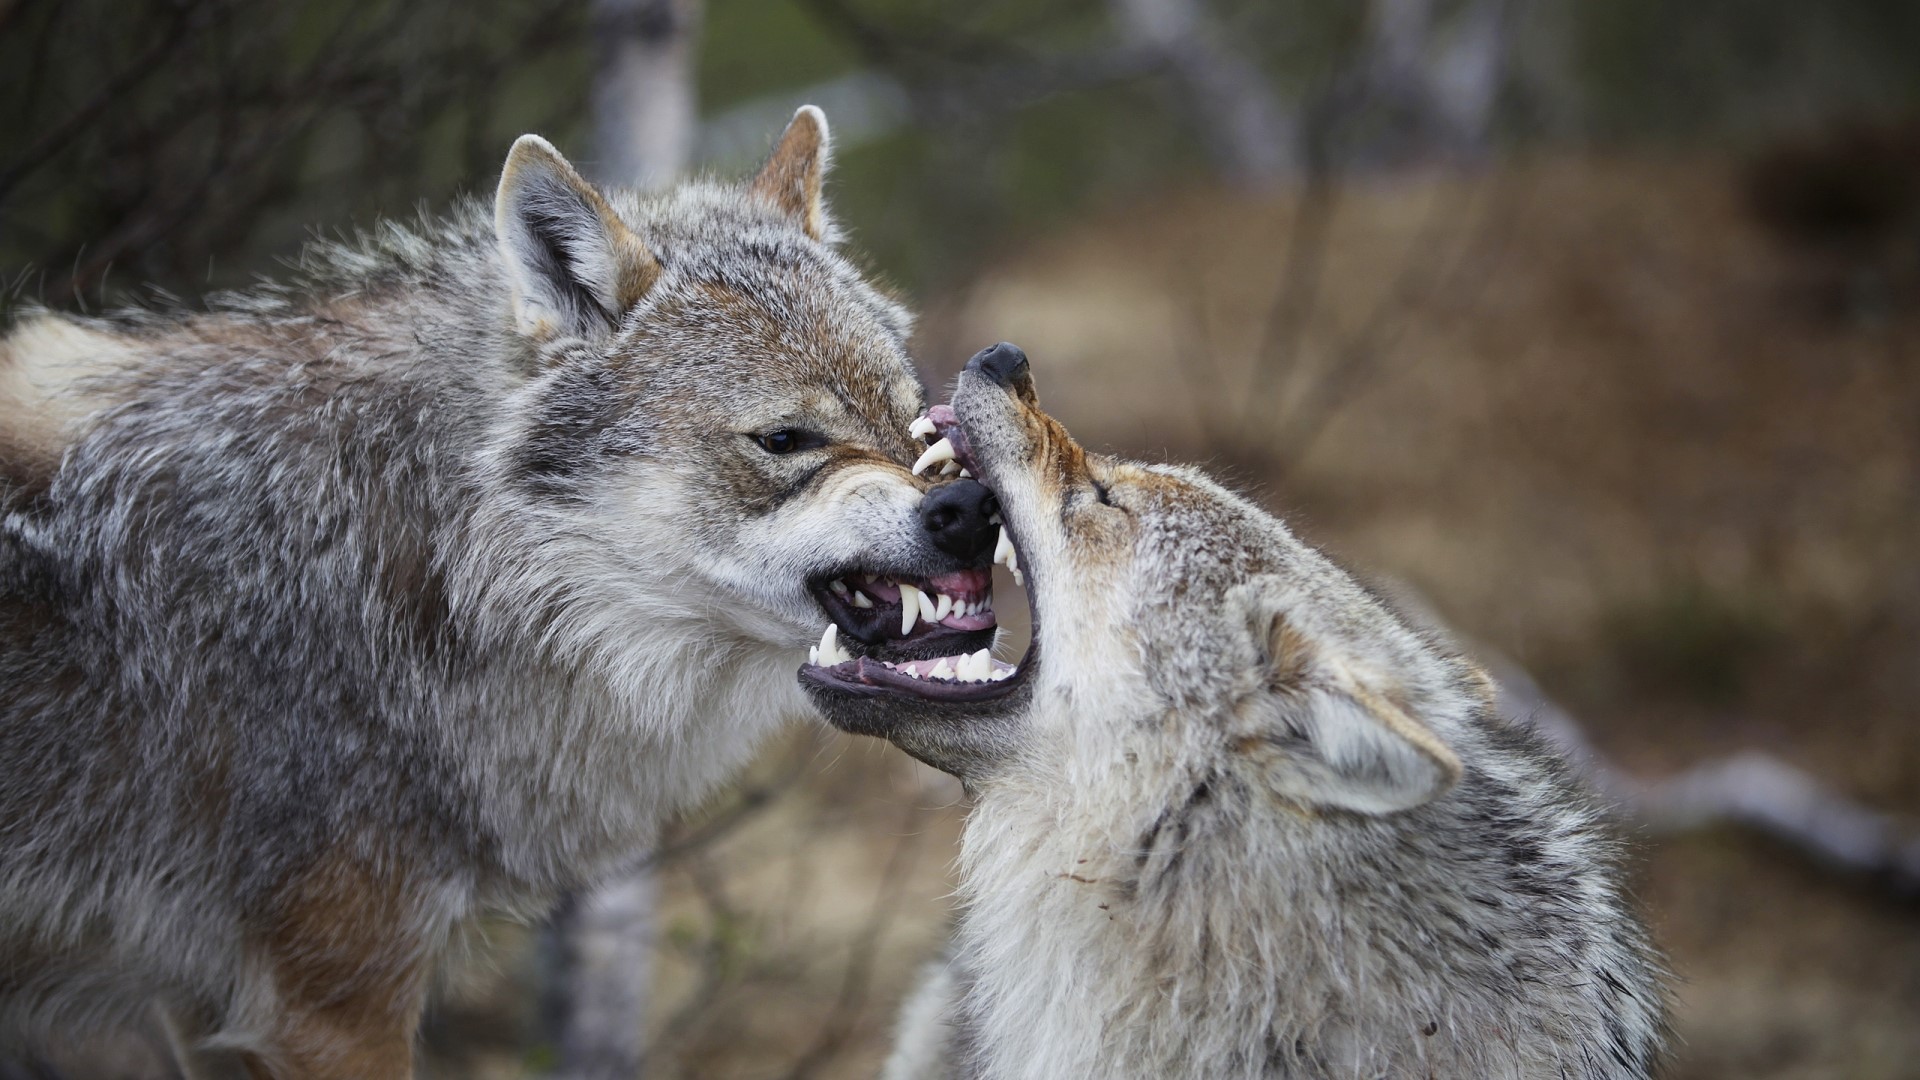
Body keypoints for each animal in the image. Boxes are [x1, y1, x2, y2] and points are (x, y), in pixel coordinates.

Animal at [0, 108, 1006, 1077]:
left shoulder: (206, 1004)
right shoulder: (331, 1003)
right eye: (787, 439)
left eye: (915, 419)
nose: (972, 507)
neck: (427, 565)